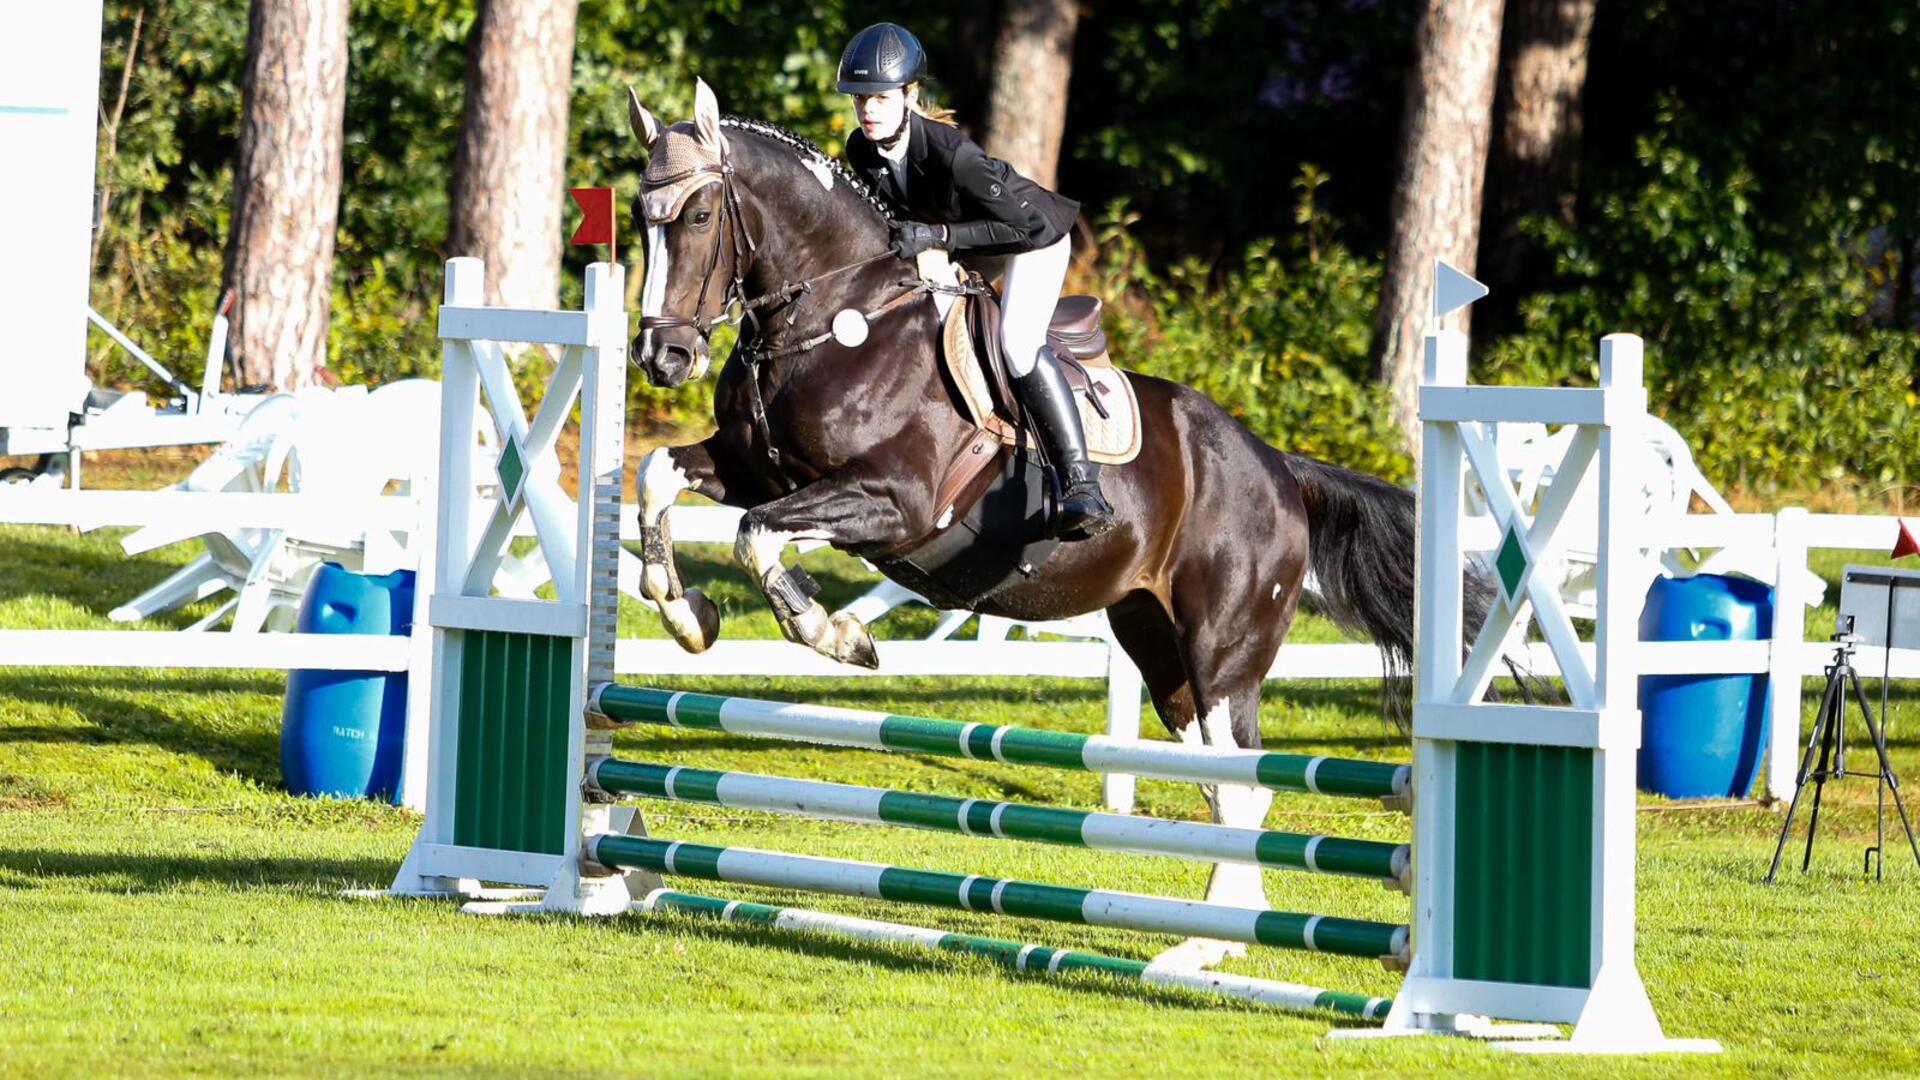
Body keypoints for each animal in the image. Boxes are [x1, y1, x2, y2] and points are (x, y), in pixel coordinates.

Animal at [629, 79, 1428, 960]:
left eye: (701, 215)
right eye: (637, 214)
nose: (662, 358)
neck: (831, 318)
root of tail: (1281, 470)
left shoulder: (894, 501)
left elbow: (757, 535)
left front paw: (835, 634)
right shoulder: (753, 471)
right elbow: (659, 474)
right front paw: (686, 614)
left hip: (1224, 653)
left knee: (1243, 781)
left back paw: (1217, 942)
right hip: (1158, 647)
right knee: (1226, 787)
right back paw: (1221, 936)